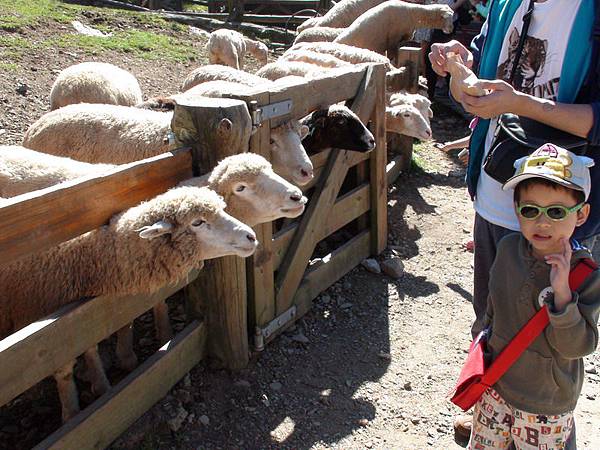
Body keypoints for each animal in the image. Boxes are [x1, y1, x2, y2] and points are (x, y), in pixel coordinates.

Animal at [0, 184, 255, 422]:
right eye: (198, 222)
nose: (251, 237)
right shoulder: (49, 328)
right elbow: (63, 368)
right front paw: (72, 413)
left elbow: (91, 344)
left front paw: (100, 382)